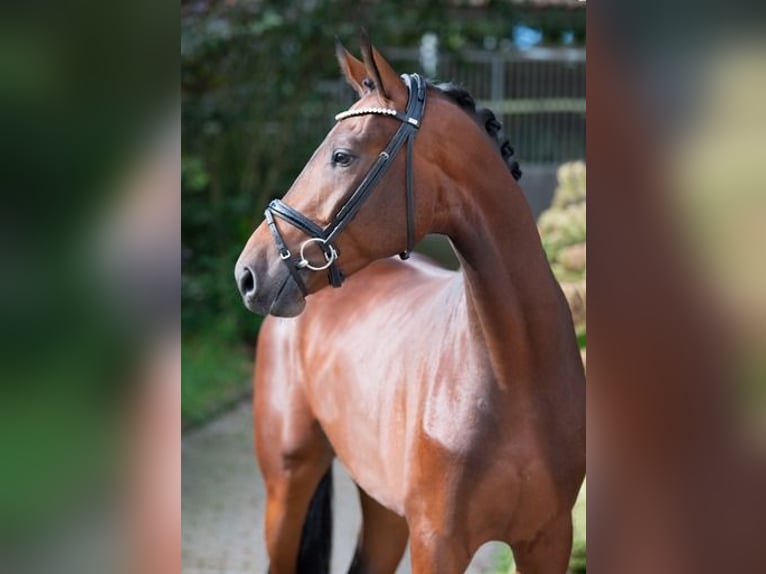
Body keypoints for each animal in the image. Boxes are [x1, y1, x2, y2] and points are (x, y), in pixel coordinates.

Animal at [237, 37, 584, 574]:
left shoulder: (548, 539)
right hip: (287, 486)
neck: (514, 371)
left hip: (383, 507)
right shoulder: (437, 543)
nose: (250, 272)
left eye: (341, 155)